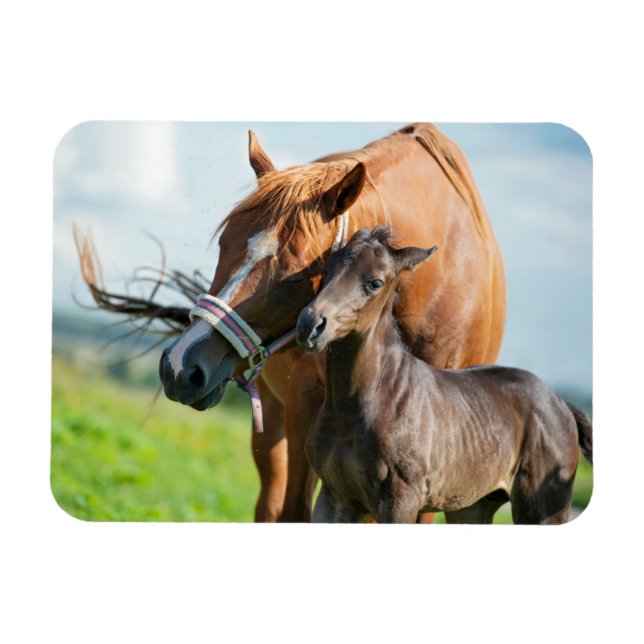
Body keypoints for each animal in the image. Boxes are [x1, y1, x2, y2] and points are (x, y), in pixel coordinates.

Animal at [296, 227, 592, 524]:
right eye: (327, 269)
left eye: (375, 282)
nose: (310, 325)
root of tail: (562, 404)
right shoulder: (335, 498)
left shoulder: (400, 500)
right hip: (473, 507)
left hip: (542, 508)